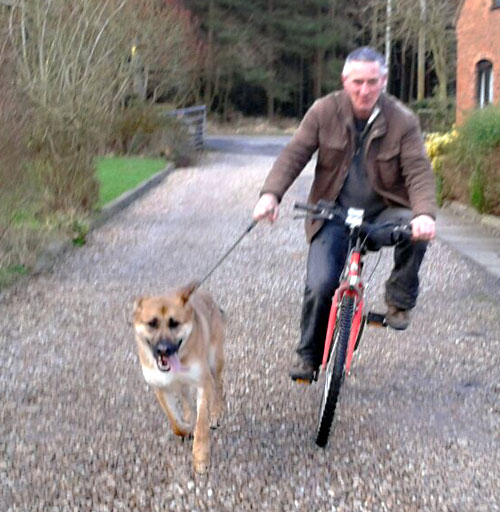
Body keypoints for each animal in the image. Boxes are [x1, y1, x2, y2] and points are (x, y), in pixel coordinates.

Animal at [134, 282, 226, 474]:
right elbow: (175, 422)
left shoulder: (202, 383)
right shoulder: (160, 388)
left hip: (215, 361)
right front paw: (186, 428)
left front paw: (200, 456)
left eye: (174, 323)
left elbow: (201, 425)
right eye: (151, 324)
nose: (163, 350)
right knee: (185, 397)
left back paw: (215, 412)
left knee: (218, 386)